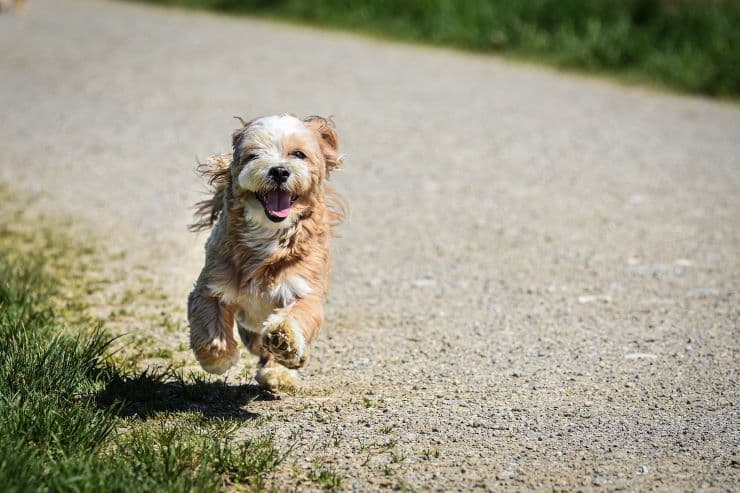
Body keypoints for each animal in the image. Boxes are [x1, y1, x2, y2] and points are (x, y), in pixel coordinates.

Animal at [188, 114, 344, 388]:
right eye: (253, 155)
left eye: (298, 154)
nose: (279, 170)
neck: (269, 235)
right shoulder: (211, 287)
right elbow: (208, 325)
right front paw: (217, 358)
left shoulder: (304, 289)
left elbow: (297, 315)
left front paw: (284, 339)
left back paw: (279, 370)